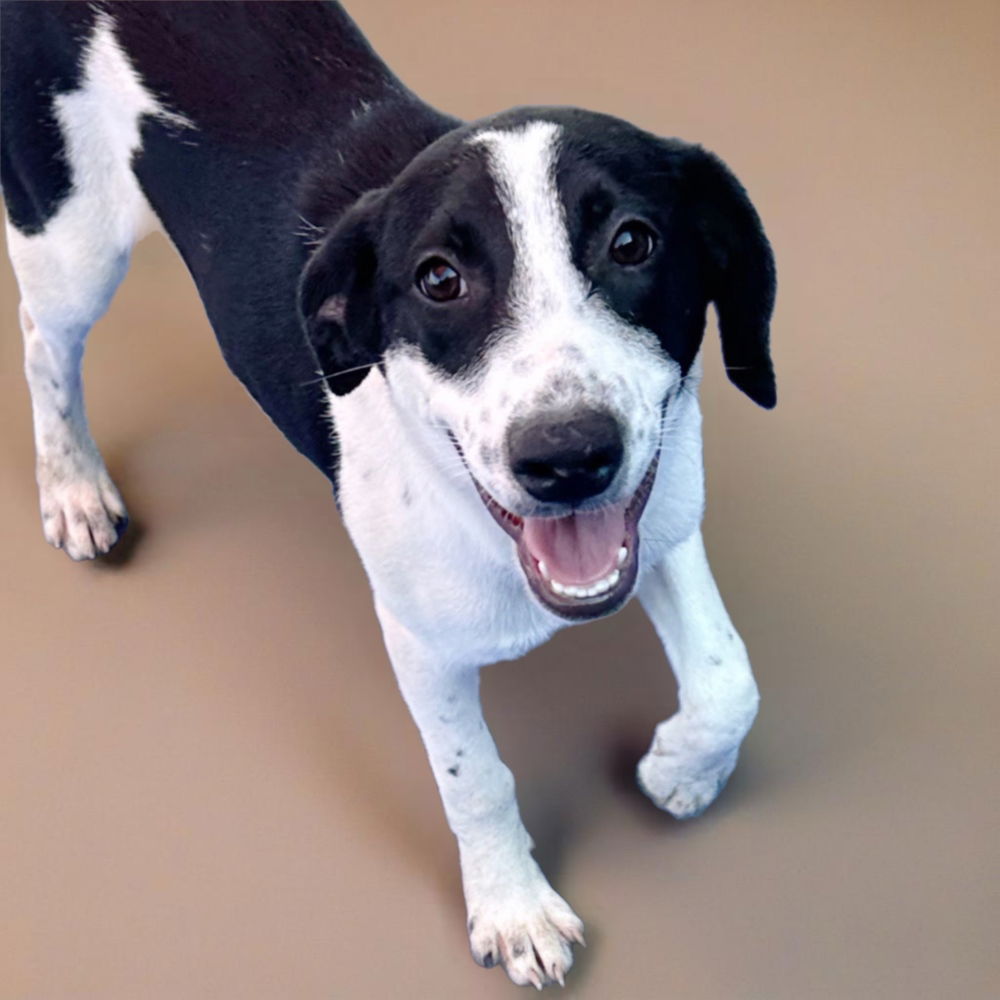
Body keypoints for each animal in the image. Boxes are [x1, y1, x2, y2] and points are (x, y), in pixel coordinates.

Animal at [1, 1, 772, 992]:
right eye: (439, 278)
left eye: (633, 242)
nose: (568, 457)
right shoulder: (421, 641)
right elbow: (476, 778)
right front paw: (513, 906)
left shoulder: (663, 517)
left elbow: (729, 675)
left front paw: (685, 769)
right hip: (71, 237)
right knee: (44, 342)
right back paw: (74, 484)